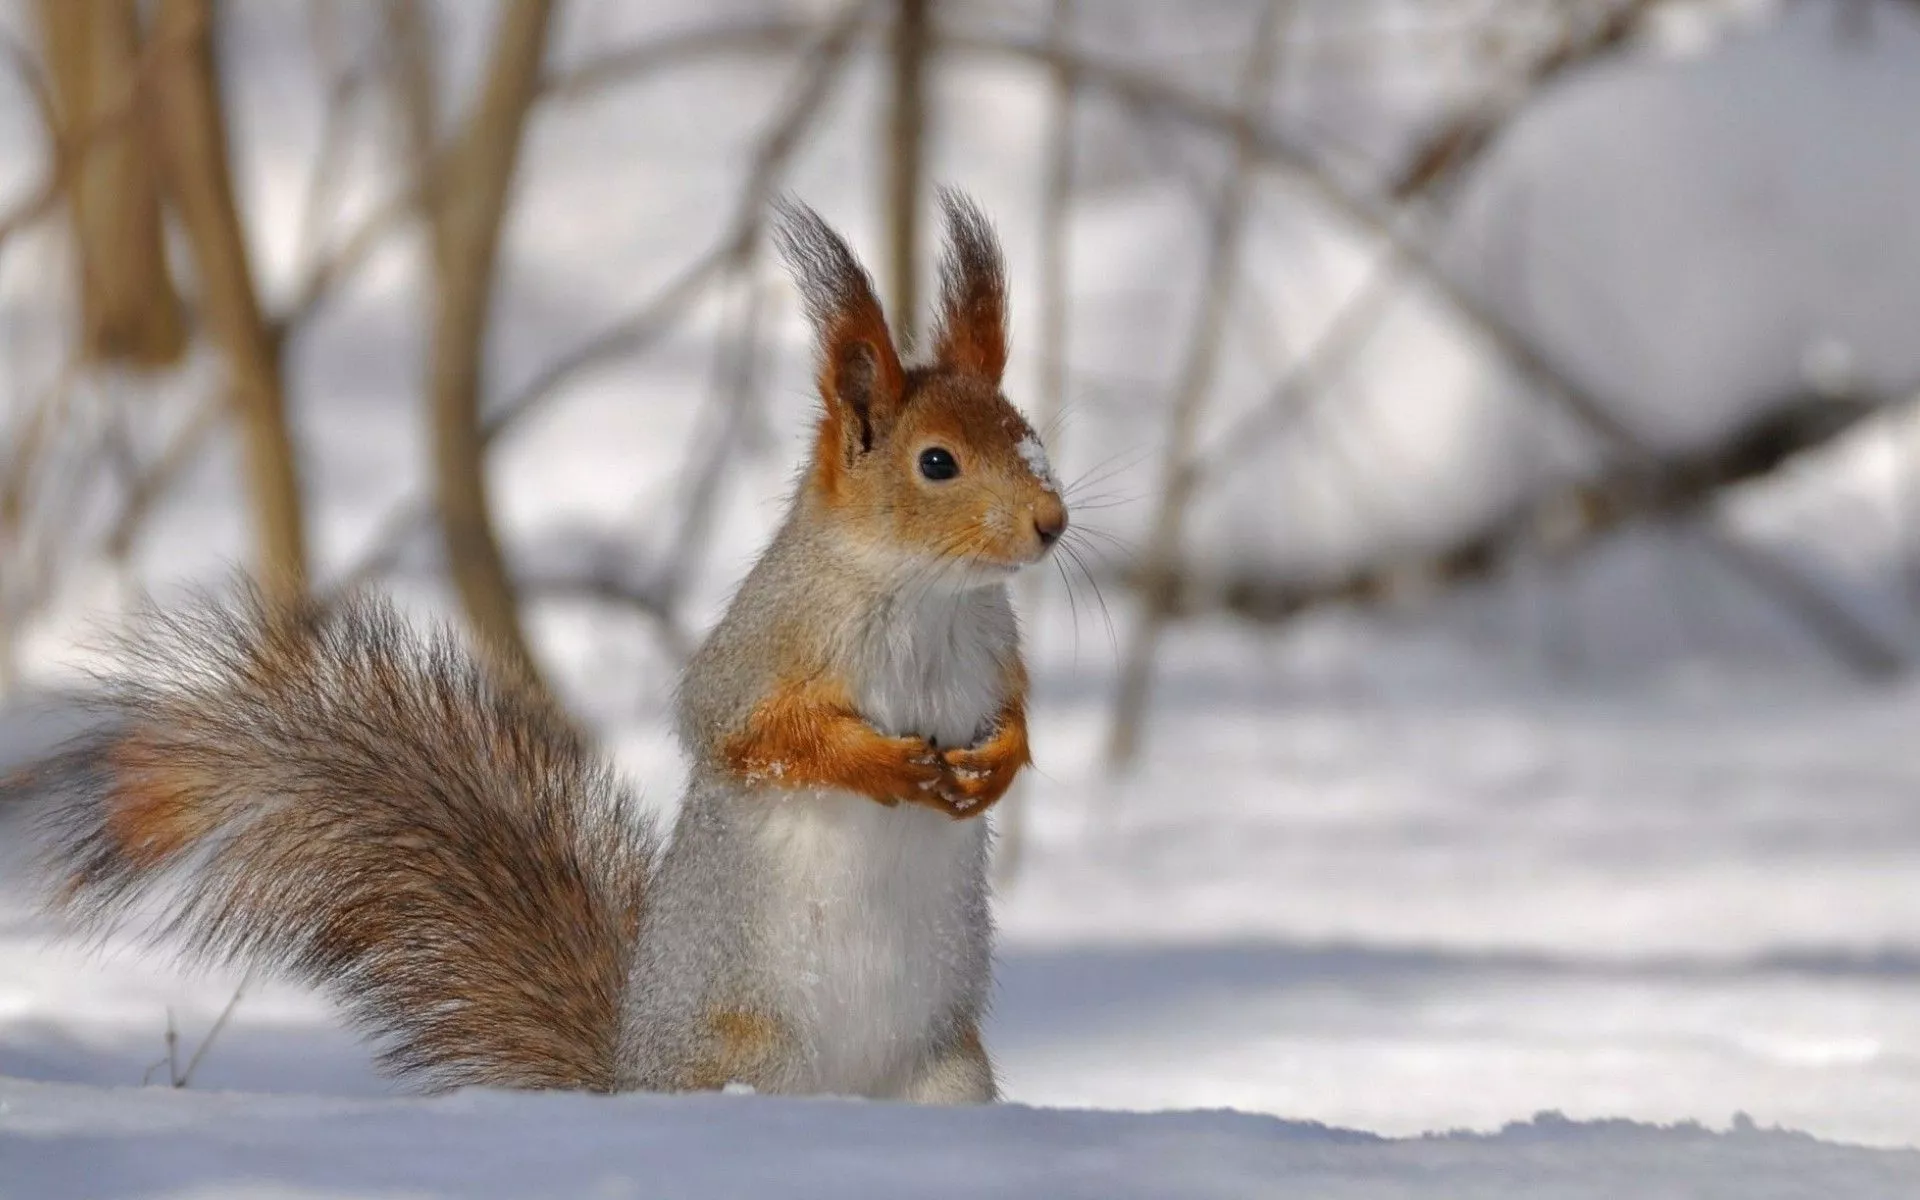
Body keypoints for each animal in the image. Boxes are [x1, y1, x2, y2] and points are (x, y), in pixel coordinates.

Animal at [5, 191, 1068, 1104]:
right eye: (937, 463)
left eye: (1031, 435)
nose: (1052, 523)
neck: (926, 596)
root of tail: (629, 1080)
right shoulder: (764, 647)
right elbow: (745, 734)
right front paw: (885, 765)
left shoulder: (993, 648)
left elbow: (1013, 711)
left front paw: (1000, 762)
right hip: (752, 1052)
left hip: (947, 1072)